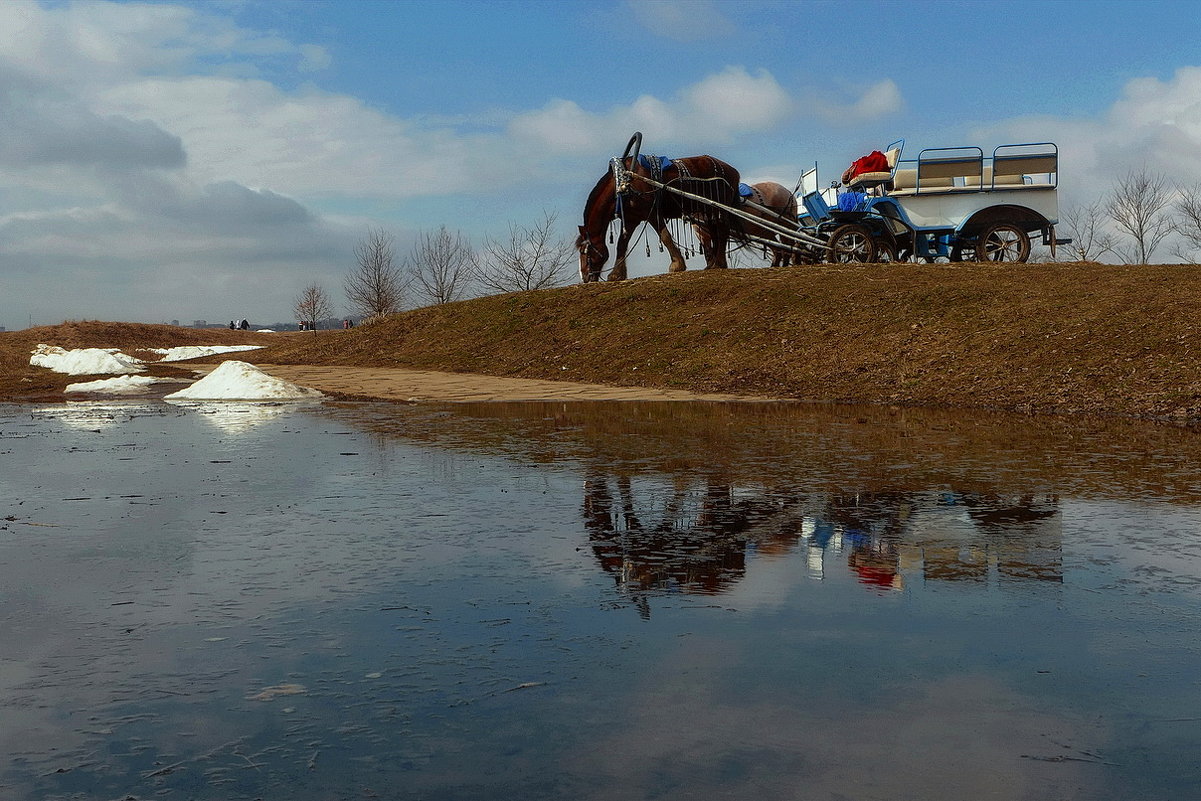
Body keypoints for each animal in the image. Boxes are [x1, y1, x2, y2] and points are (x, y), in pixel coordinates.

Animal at [574, 154, 739, 283]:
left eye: (584, 251)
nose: (585, 278)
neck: (624, 182)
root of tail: (733, 171)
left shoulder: (652, 213)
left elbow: (665, 236)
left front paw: (677, 265)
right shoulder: (631, 218)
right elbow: (622, 243)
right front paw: (616, 274)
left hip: (719, 207)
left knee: (722, 230)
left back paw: (719, 262)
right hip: (708, 210)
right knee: (713, 232)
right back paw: (713, 264)